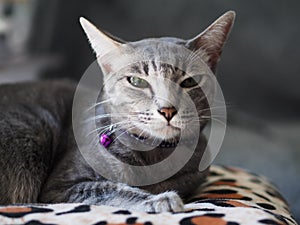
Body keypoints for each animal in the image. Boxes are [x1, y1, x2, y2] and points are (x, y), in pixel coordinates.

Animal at [0, 10, 234, 212]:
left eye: (190, 82)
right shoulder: (60, 187)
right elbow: (110, 189)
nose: (167, 109)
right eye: (137, 82)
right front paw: (161, 200)